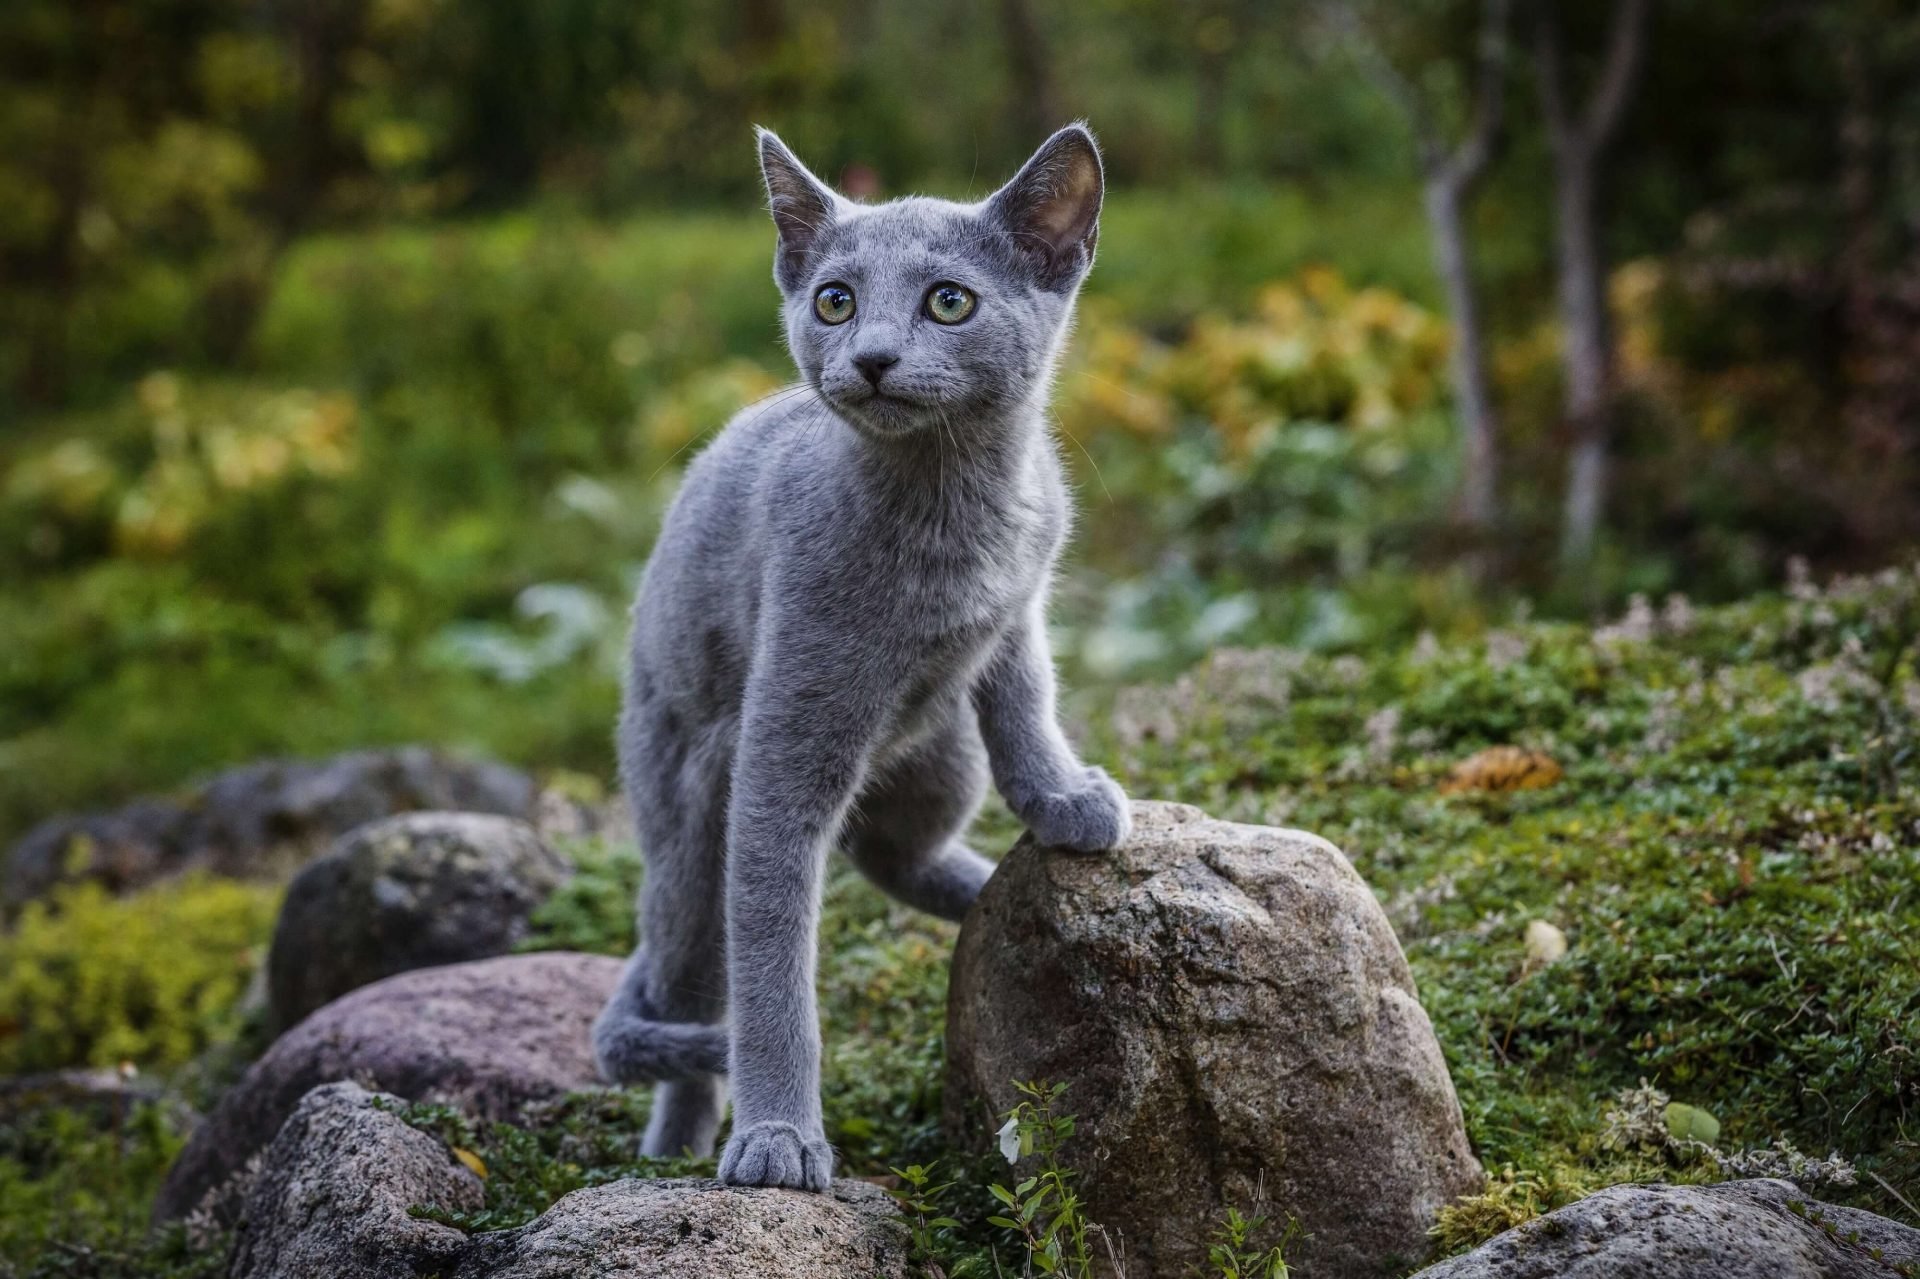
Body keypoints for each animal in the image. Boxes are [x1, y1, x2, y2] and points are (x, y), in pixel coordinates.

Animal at [583, 124, 1121, 1190]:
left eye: (949, 301)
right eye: (835, 300)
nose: (871, 358)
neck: (955, 512)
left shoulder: (1017, 609)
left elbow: (1026, 699)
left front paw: (1062, 794)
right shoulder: (785, 732)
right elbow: (772, 962)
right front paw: (779, 1135)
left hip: (941, 758)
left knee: (897, 853)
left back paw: (978, 894)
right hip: (685, 821)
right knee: (685, 985)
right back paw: (672, 1151)